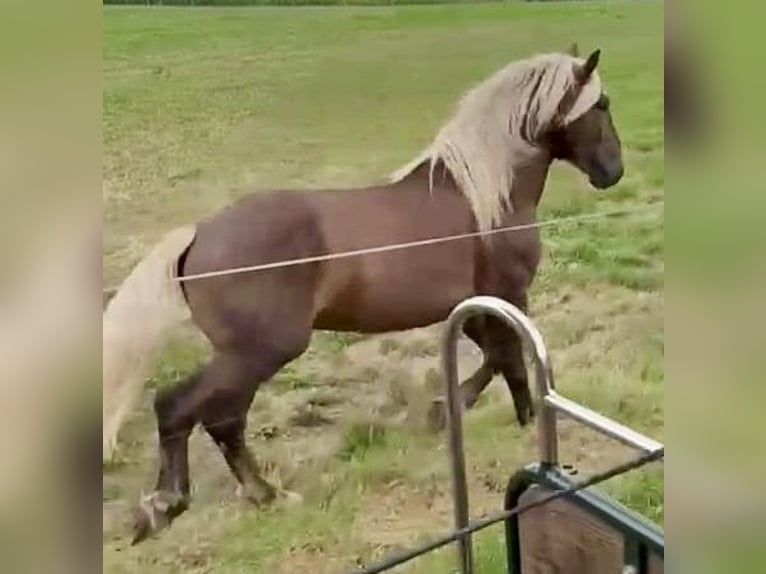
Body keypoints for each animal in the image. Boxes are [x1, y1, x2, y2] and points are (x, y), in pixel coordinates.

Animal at [102, 46, 628, 544]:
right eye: (601, 103)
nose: (613, 171)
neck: (485, 199)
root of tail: (199, 234)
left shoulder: (474, 305)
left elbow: (496, 358)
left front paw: (445, 410)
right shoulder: (510, 293)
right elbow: (512, 360)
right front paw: (512, 421)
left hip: (245, 354)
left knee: (217, 417)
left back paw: (240, 498)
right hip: (260, 350)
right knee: (190, 410)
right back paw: (188, 502)